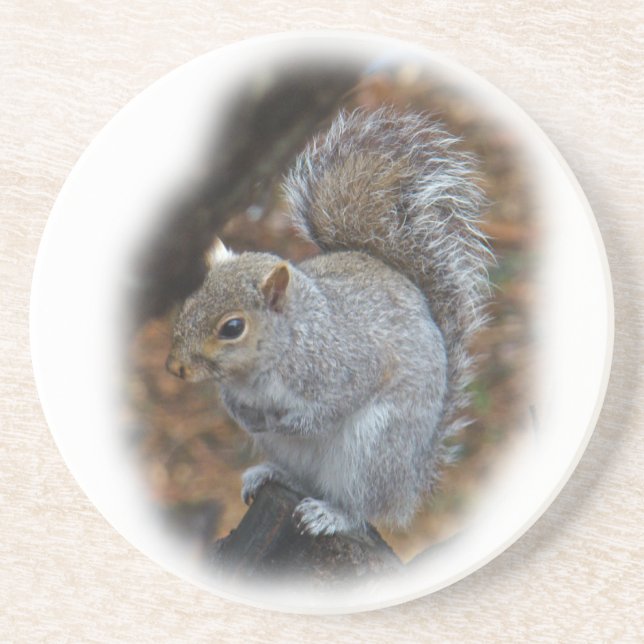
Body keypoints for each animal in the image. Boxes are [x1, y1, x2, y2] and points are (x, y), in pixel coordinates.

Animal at [166, 106, 492, 536]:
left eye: (232, 328)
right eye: (190, 300)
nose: (175, 367)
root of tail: (410, 483)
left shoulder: (346, 365)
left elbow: (336, 404)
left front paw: (290, 423)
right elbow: (237, 405)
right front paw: (247, 417)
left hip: (373, 449)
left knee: (361, 507)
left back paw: (332, 513)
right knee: (306, 481)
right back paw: (270, 474)